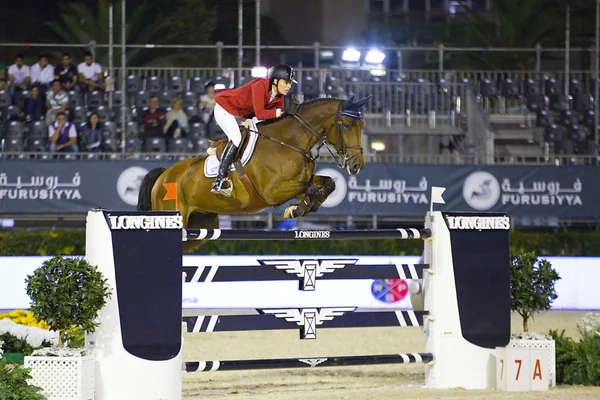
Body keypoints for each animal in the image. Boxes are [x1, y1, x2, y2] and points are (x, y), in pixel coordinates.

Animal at [137, 94, 370, 250]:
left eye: (362, 126)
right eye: (347, 125)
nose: (356, 165)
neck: (289, 142)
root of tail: (164, 175)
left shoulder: (299, 181)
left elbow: (326, 183)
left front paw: (300, 209)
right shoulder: (272, 191)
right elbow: (310, 187)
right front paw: (297, 209)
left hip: (201, 225)